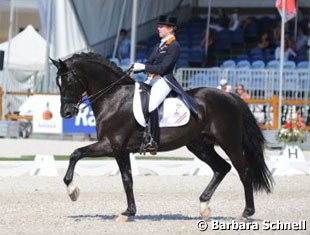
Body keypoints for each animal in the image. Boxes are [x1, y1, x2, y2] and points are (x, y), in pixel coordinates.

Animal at [51, 52, 274, 222]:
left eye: (69, 81)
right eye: (58, 84)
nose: (66, 113)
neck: (113, 98)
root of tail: (230, 96)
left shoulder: (112, 144)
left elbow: (76, 153)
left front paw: (72, 191)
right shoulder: (120, 150)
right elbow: (127, 179)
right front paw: (128, 212)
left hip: (230, 143)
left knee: (244, 172)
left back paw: (245, 213)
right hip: (199, 145)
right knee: (222, 168)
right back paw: (204, 206)